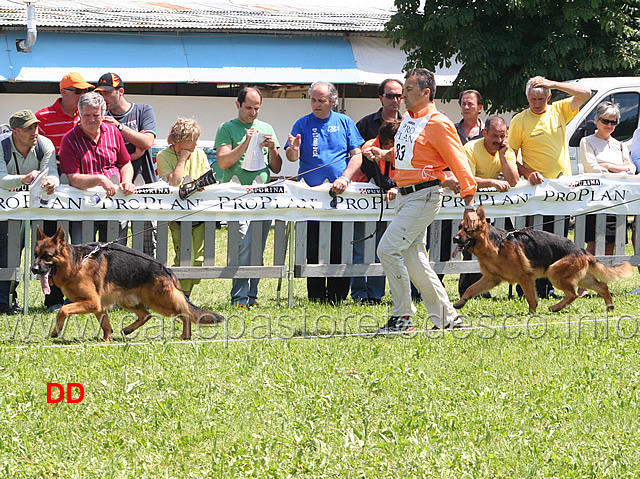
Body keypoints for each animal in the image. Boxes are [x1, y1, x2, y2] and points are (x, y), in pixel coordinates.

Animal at [31, 226, 225, 342]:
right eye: (35, 255)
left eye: (47, 256)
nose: (33, 269)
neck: (76, 263)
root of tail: (167, 270)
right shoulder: (98, 305)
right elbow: (106, 325)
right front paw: (107, 341)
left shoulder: (92, 302)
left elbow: (63, 309)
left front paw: (56, 331)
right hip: (128, 301)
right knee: (146, 315)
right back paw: (128, 330)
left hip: (160, 301)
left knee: (184, 313)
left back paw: (185, 336)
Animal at [452, 207, 632, 316]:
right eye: (459, 227)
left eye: (467, 229)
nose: (454, 239)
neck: (497, 244)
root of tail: (582, 250)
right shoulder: (491, 279)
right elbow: (470, 289)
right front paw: (460, 303)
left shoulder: (524, 278)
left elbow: (531, 298)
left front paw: (532, 314)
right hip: (583, 279)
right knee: (602, 287)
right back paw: (609, 307)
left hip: (555, 273)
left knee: (573, 294)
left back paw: (555, 307)